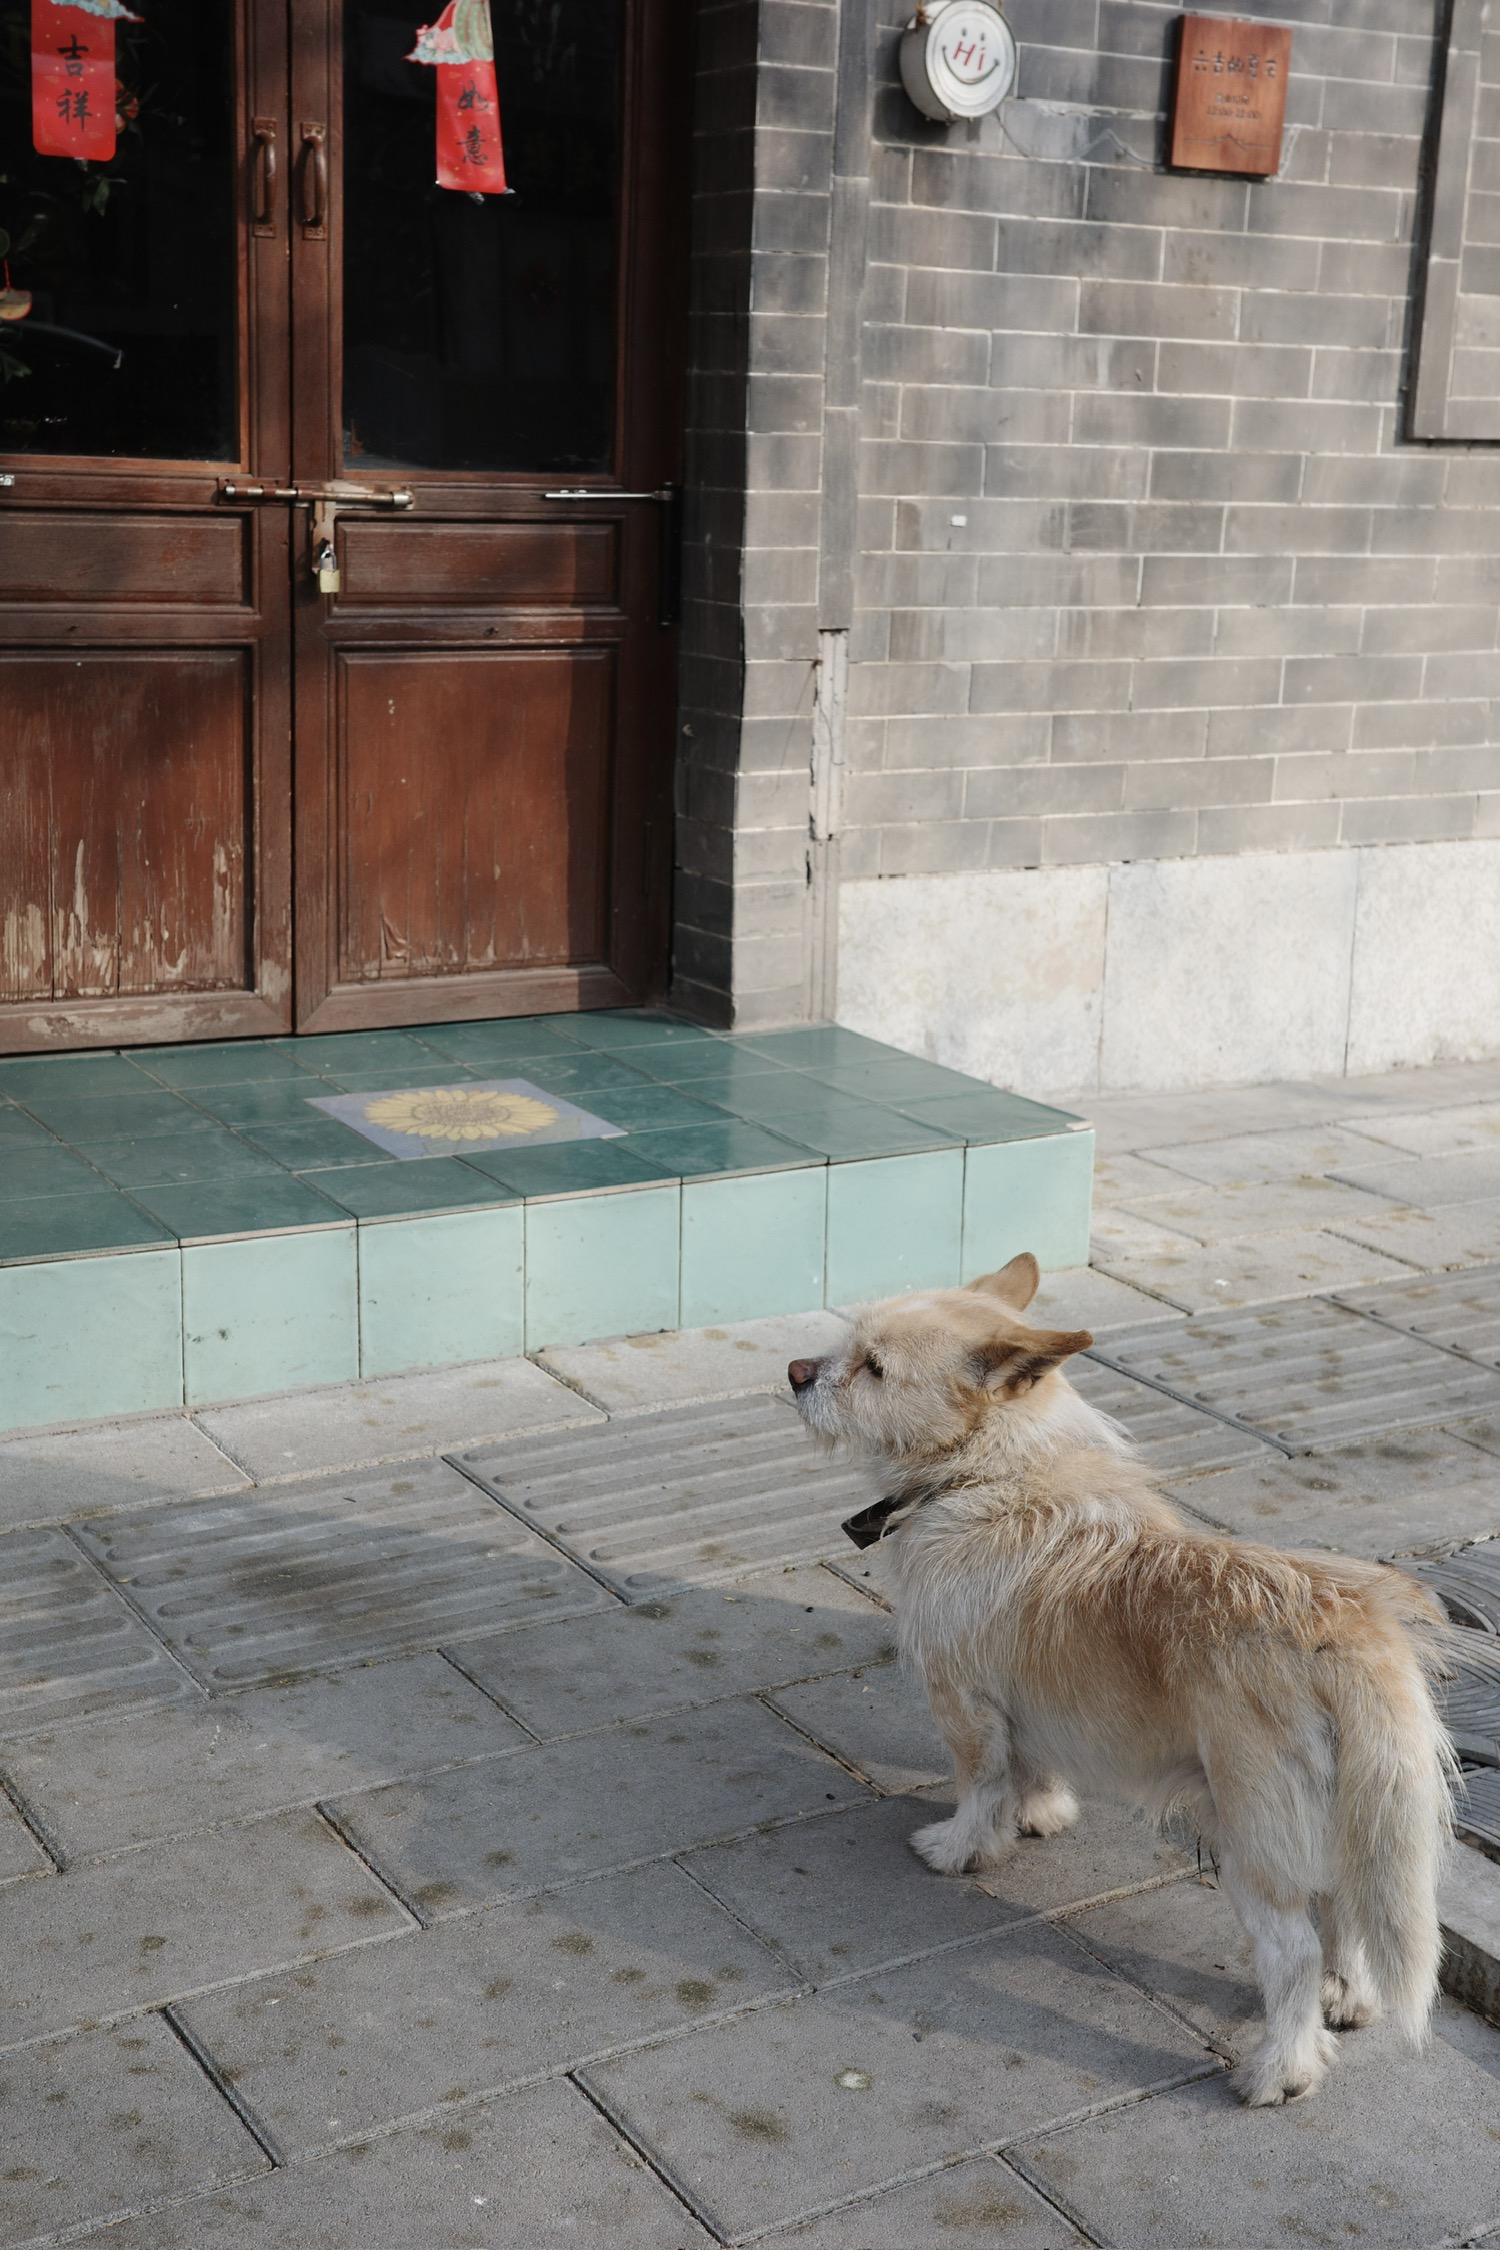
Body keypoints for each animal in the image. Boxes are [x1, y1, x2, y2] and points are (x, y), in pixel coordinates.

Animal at [787, 1252, 1455, 2107]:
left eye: (873, 1367)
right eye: (850, 1345)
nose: (796, 1372)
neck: (998, 1470)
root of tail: (1349, 1630)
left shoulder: (963, 1700)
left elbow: (980, 1784)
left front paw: (962, 1848)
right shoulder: (1029, 1701)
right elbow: (1030, 1768)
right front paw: (1040, 1814)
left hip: (1252, 1837)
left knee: (1294, 1952)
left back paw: (1282, 2069)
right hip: (1341, 1817)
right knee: (1342, 1915)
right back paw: (1348, 1997)